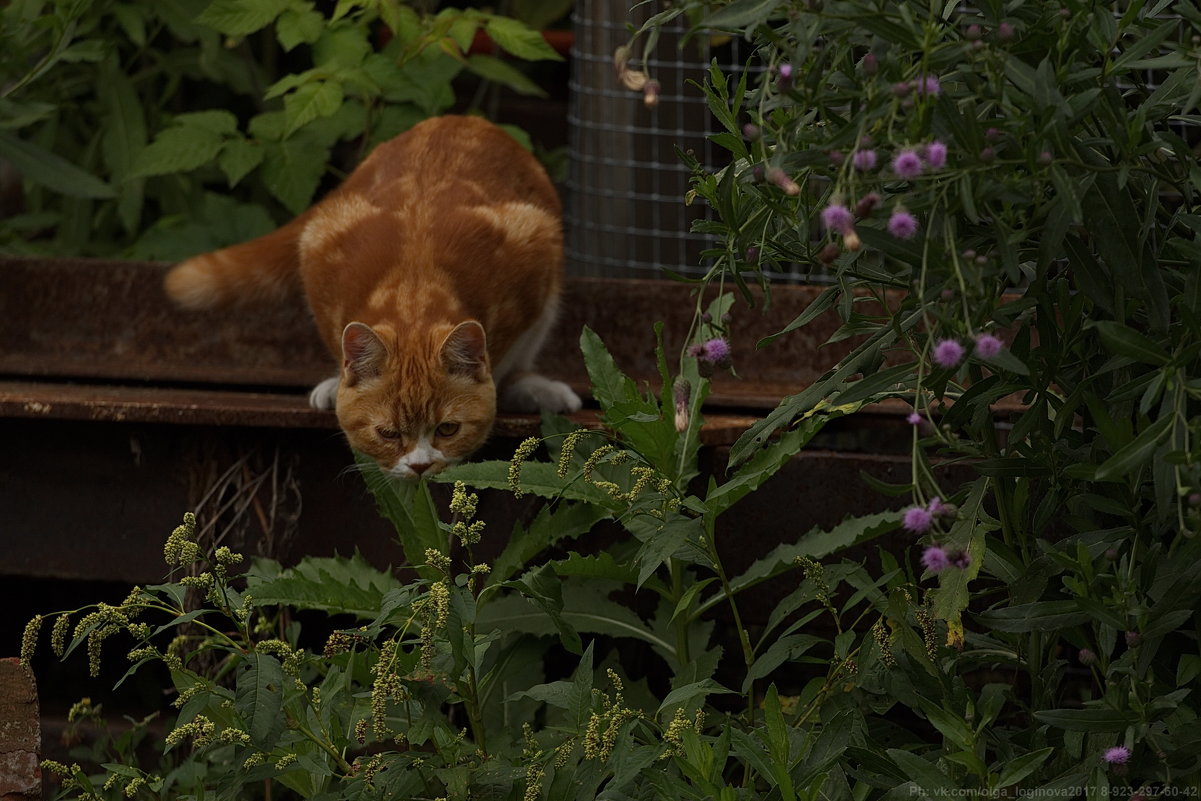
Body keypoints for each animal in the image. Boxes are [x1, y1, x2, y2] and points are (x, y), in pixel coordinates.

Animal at [165, 115, 581, 480]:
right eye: (388, 434)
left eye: (447, 429)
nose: (420, 467)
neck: (414, 288)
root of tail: (463, 118)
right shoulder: (321, 250)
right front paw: (340, 382)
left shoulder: (534, 250)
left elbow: (504, 366)